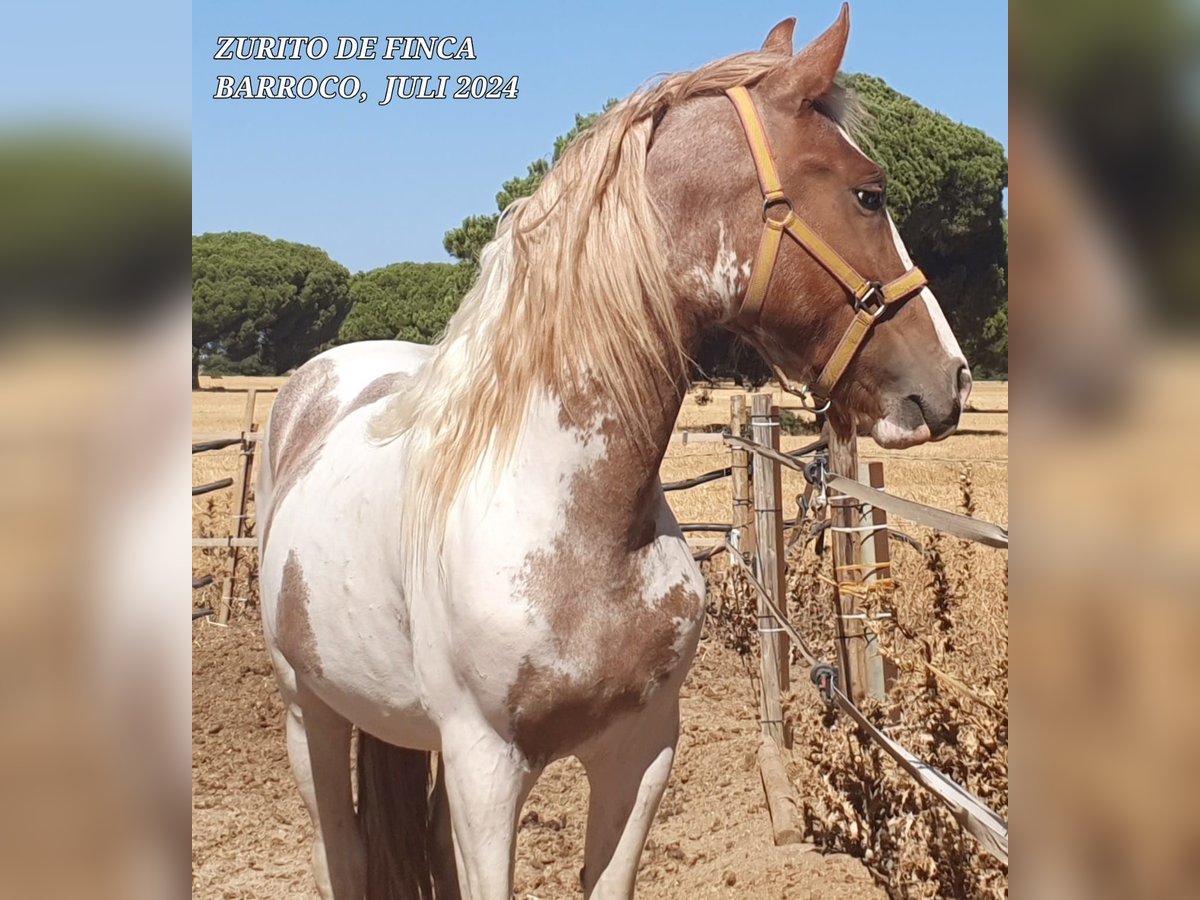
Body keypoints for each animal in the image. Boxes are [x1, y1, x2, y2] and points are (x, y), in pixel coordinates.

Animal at [258, 8, 969, 900]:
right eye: (868, 192)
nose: (952, 378)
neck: (573, 519)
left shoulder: (640, 754)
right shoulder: (485, 771)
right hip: (308, 716)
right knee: (342, 854)